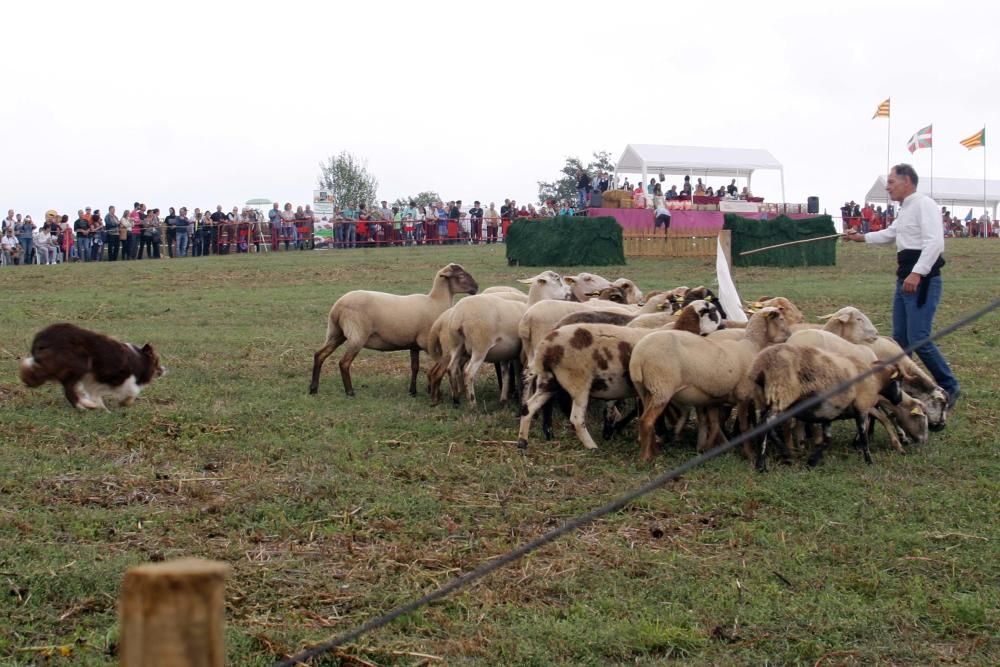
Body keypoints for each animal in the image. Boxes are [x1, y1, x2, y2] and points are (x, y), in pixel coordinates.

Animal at [17, 322, 165, 410]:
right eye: (157, 362)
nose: (164, 370)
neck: (139, 358)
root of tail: (41, 337)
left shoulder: (93, 380)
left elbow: (95, 392)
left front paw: (101, 407)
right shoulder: (121, 377)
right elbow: (132, 390)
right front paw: (125, 402)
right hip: (80, 364)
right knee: (68, 390)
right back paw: (84, 406)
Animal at [310, 262, 478, 396]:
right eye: (461, 275)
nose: (476, 287)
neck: (435, 302)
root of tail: (337, 306)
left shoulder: (414, 344)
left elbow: (415, 367)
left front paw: (413, 391)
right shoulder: (426, 342)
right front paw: (431, 388)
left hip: (336, 332)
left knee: (320, 355)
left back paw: (313, 388)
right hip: (357, 335)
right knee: (344, 363)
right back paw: (350, 392)